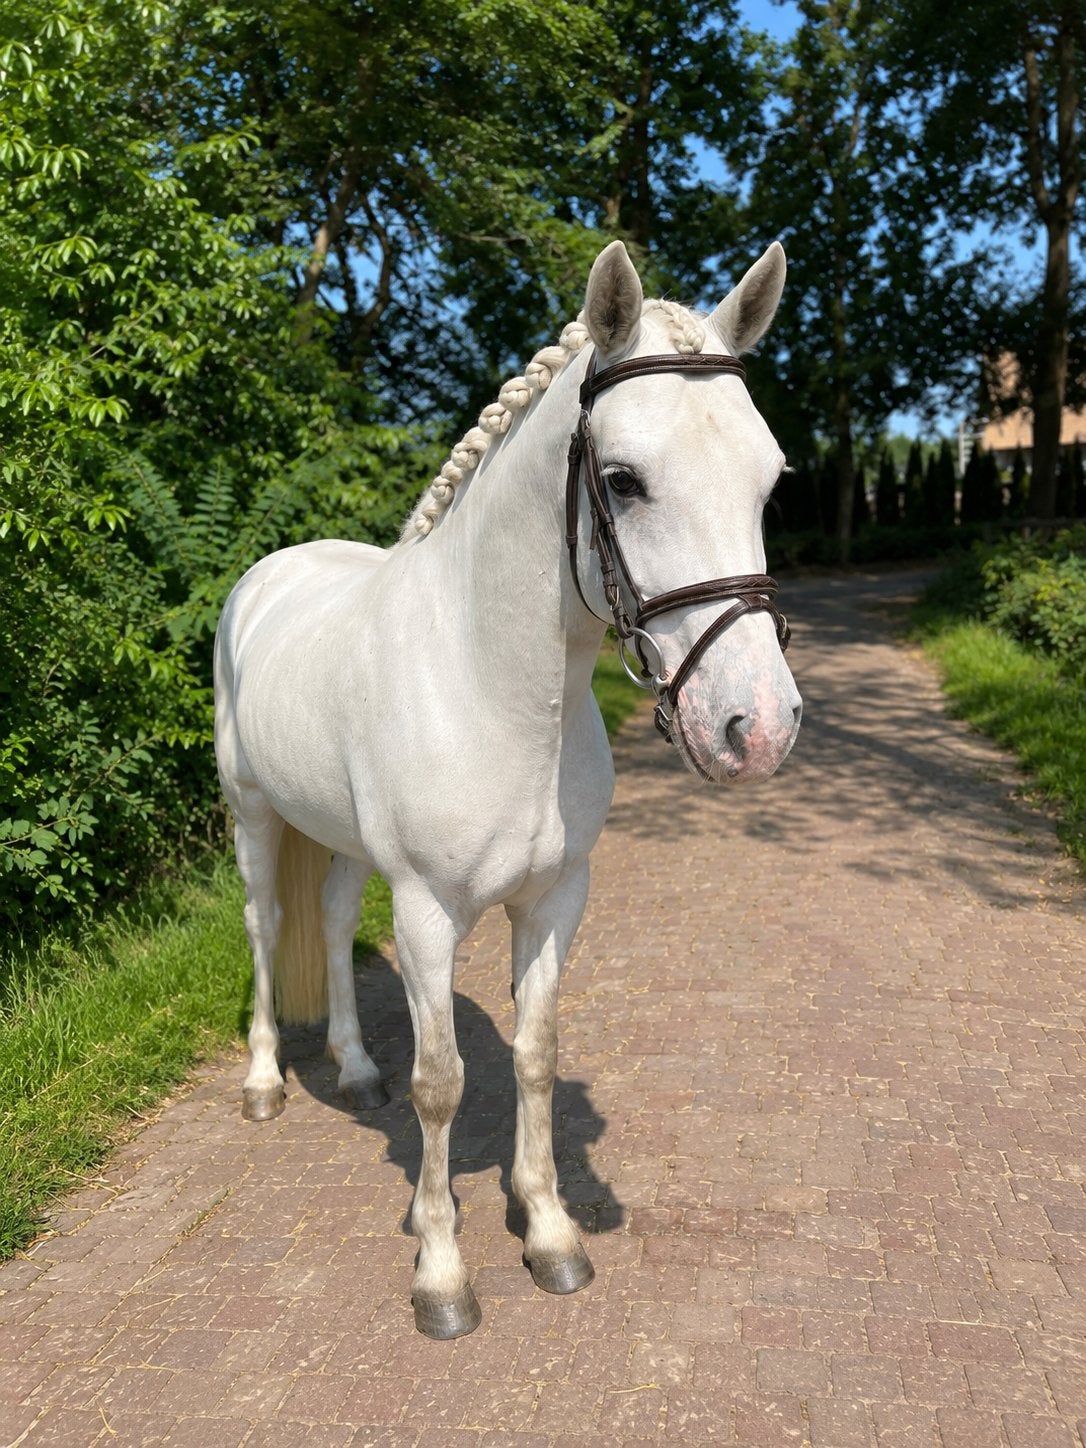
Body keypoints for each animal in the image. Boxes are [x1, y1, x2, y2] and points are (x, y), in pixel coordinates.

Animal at [213, 239, 802, 1339]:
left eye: (768, 478)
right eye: (623, 480)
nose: (757, 726)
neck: (490, 685)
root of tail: (270, 574)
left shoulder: (555, 899)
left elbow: (534, 1053)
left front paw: (552, 1231)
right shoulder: (428, 912)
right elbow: (443, 1082)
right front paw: (443, 1273)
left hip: (342, 843)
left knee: (331, 916)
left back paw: (354, 1069)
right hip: (253, 814)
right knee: (270, 925)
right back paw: (266, 1081)